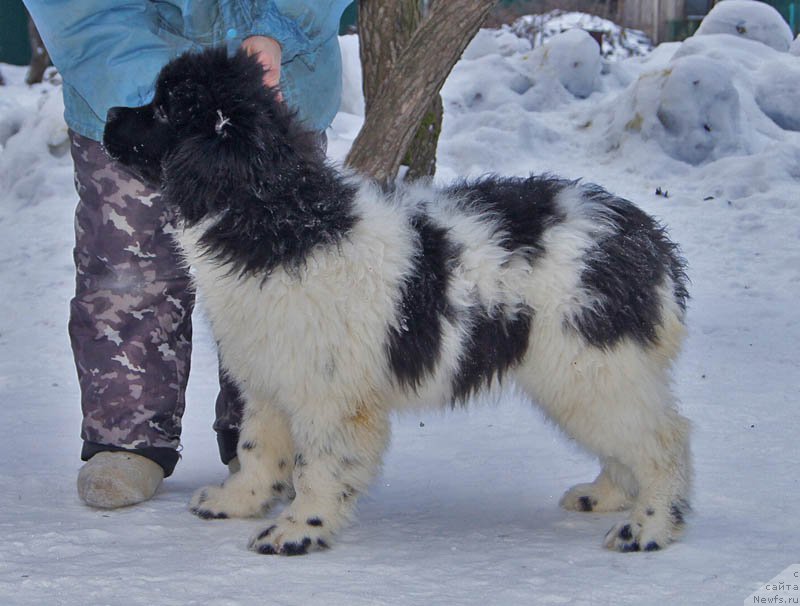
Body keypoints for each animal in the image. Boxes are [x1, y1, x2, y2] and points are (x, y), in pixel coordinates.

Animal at [103, 50, 692, 560]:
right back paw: (608, 495)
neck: (286, 223)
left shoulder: (330, 395)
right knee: (631, 440)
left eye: (162, 109)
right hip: (590, 372)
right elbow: (257, 448)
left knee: (664, 441)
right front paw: (238, 501)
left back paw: (649, 525)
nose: (106, 113)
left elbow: (319, 466)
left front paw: (297, 531)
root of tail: (645, 238)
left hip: (592, 364)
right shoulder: (269, 376)